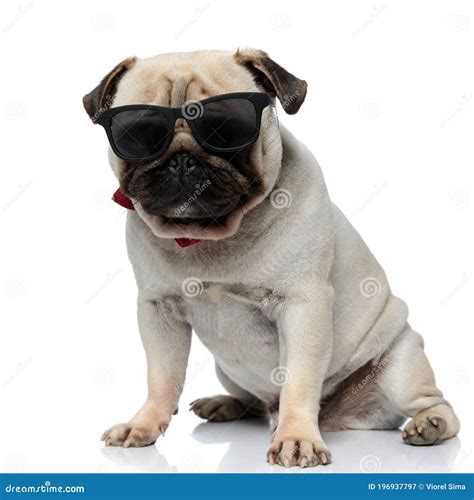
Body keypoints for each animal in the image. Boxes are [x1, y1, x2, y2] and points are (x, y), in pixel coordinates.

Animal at [84, 48, 460, 466]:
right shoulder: (158, 310)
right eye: (137, 135)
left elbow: (299, 380)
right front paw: (144, 424)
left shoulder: (303, 306)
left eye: (227, 130)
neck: (208, 236)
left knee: (438, 403)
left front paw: (297, 438)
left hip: (401, 368)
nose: (182, 159)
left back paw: (429, 426)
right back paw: (225, 404)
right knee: (253, 402)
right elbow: (161, 377)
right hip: (228, 369)